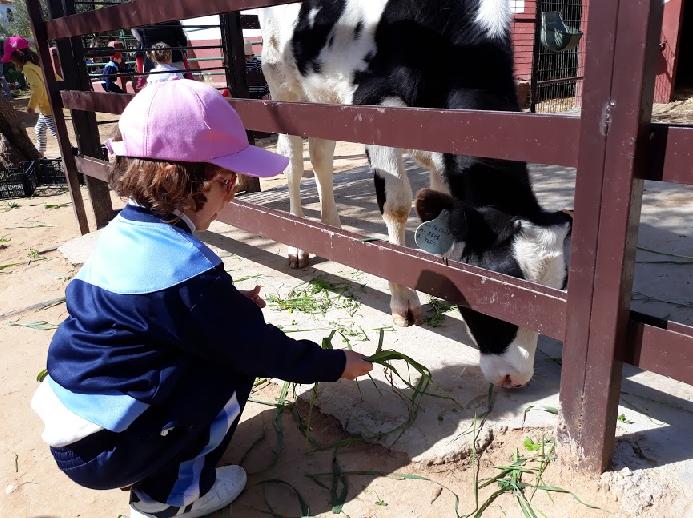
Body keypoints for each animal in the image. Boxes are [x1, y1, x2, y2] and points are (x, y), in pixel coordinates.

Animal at [256, 0, 572, 388]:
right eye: (496, 295)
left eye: (558, 290)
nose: (515, 377)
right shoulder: (376, 103)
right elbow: (396, 206)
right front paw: (405, 299)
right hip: (281, 79)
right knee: (294, 161)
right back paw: (297, 243)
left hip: (323, 94)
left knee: (321, 153)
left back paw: (330, 228)